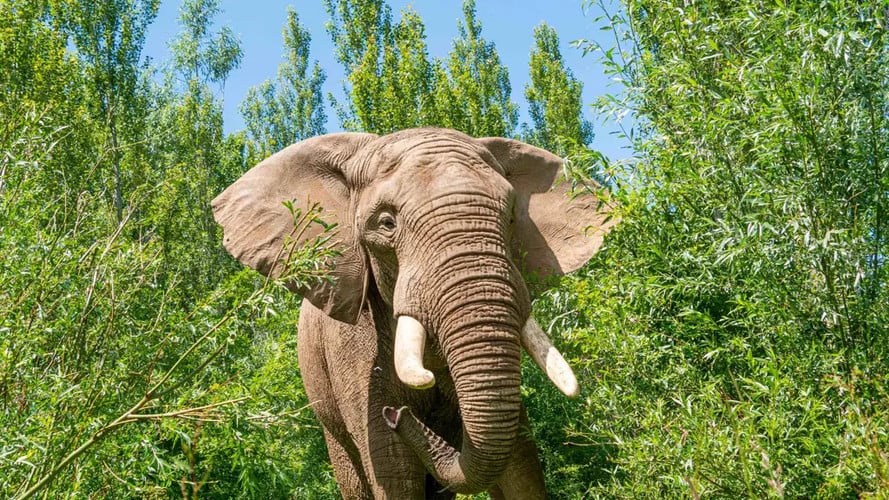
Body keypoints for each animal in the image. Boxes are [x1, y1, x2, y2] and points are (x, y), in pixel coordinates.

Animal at [211, 127, 617, 499]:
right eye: (386, 223)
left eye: (511, 218)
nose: (397, 415)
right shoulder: (354, 345)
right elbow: (393, 468)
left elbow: (519, 463)